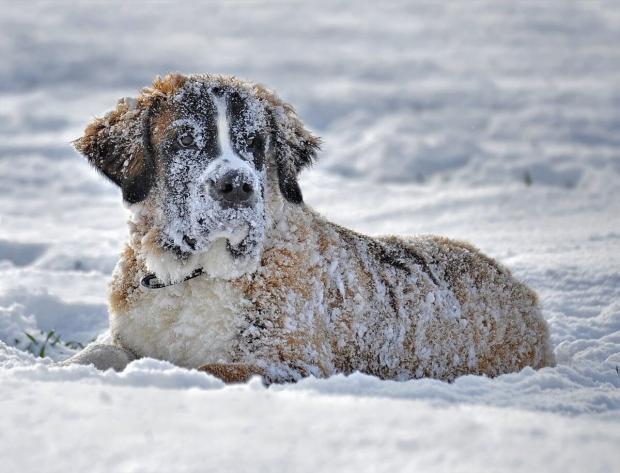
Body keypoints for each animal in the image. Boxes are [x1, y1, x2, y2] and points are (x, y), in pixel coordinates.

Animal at [65, 74, 556, 384]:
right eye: (184, 139)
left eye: (255, 143)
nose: (236, 185)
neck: (193, 275)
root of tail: (518, 288)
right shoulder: (127, 334)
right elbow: (95, 354)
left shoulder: (290, 362)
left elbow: (208, 369)